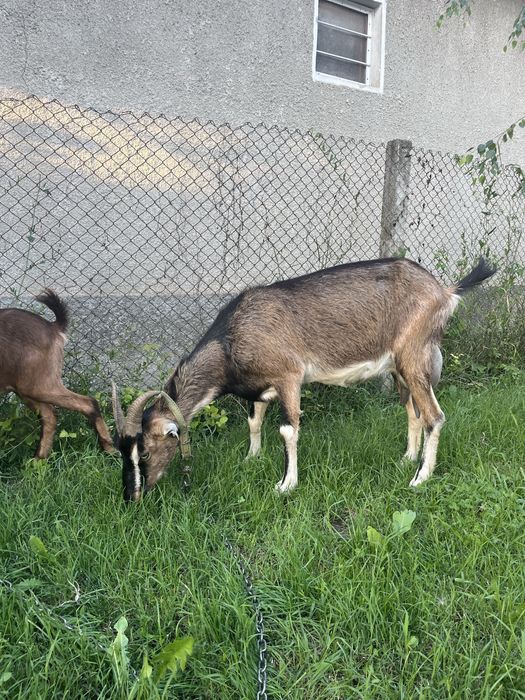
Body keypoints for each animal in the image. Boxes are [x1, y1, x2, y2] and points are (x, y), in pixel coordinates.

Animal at [0, 290, 114, 458]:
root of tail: (53, 327)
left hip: (38, 385)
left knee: (88, 403)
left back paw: (109, 449)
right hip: (28, 388)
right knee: (49, 417)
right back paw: (39, 460)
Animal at [112, 257, 496, 502]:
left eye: (144, 451)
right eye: (120, 451)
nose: (132, 496)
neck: (231, 340)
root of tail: (445, 291)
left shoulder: (288, 377)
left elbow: (287, 430)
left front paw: (286, 484)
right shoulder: (260, 389)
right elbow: (254, 422)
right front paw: (251, 459)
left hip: (414, 356)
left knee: (434, 416)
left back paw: (420, 478)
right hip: (399, 368)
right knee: (413, 412)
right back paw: (407, 459)